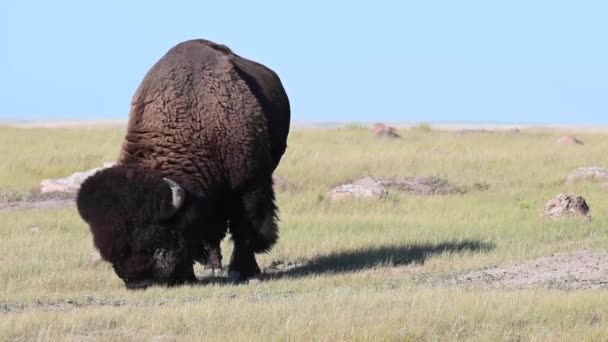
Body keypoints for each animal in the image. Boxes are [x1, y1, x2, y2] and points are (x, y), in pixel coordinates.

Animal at [76, 38, 290, 290]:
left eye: (153, 239)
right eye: (108, 252)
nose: (137, 282)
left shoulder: (249, 183)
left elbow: (246, 228)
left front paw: (246, 272)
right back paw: (213, 266)